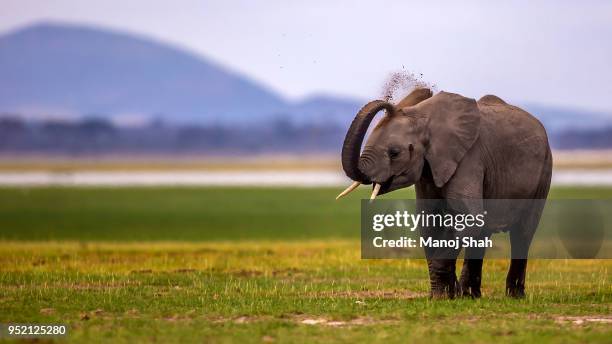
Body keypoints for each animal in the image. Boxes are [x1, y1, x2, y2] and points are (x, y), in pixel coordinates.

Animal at [338, 88, 552, 298]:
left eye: (394, 153)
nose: (425, 89)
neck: (423, 117)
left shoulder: (469, 159)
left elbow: (468, 218)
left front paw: (443, 296)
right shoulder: (428, 170)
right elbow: (430, 223)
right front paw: (443, 295)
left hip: (543, 171)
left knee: (523, 233)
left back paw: (513, 296)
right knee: (483, 232)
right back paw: (470, 295)